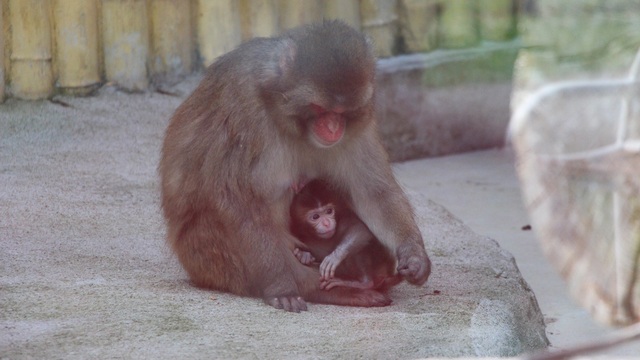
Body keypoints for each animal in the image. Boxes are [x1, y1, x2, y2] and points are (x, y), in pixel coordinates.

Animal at [159, 20, 430, 312]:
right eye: (321, 109)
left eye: (343, 111)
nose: (333, 128)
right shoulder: (242, 103)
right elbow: (235, 199)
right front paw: (281, 284)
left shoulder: (361, 121)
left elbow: (372, 192)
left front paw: (415, 257)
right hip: (207, 258)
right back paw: (327, 289)